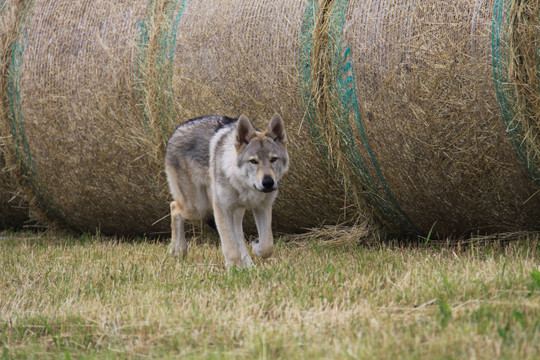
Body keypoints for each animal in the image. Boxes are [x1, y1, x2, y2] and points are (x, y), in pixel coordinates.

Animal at [163, 114, 288, 268]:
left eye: (273, 159)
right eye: (253, 161)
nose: (268, 182)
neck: (244, 185)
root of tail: (177, 130)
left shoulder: (262, 207)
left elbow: (267, 245)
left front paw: (255, 247)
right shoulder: (221, 208)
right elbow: (230, 246)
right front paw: (234, 269)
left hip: (234, 211)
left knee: (239, 235)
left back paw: (249, 265)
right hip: (197, 208)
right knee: (174, 207)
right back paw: (178, 249)